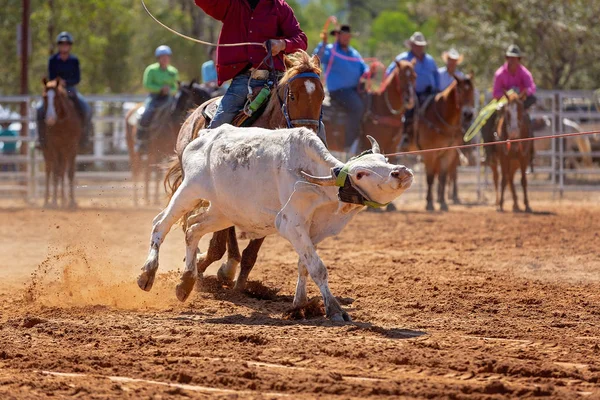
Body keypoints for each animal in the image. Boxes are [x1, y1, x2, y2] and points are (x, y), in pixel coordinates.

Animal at [41, 78, 81, 209]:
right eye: (44, 96)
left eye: (57, 97)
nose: (50, 118)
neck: (62, 125)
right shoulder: (53, 147)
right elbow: (55, 173)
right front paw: (54, 201)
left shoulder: (72, 147)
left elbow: (69, 172)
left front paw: (70, 201)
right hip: (47, 151)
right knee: (49, 170)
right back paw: (47, 201)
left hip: (65, 152)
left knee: (63, 171)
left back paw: (65, 200)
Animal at [159, 51, 326, 292]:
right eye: (293, 96)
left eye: (322, 97)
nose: (310, 137)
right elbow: (218, 241)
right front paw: (199, 267)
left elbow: (251, 252)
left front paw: (240, 284)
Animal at [404, 76, 474, 212]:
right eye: (459, 91)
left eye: (472, 90)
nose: (468, 114)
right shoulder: (430, 154)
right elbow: (430, 177)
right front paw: (430, 203)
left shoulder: (448, 153)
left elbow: (443, 176)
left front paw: (443, 203)